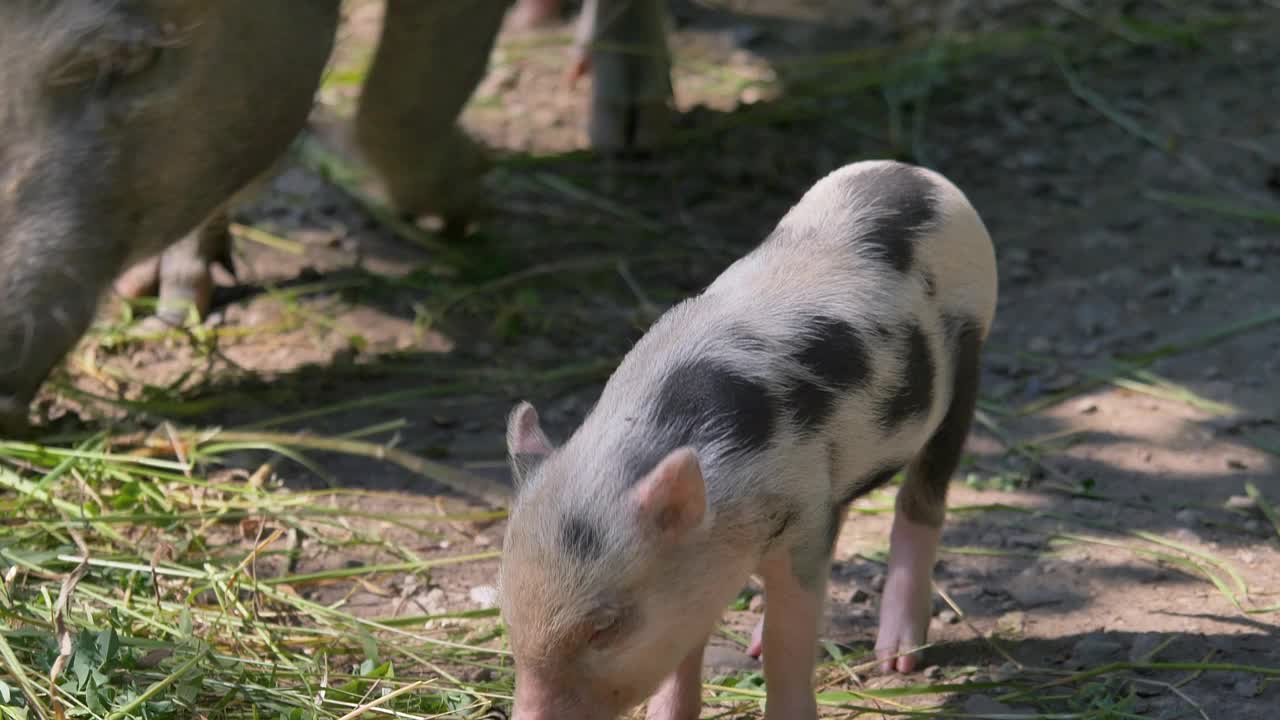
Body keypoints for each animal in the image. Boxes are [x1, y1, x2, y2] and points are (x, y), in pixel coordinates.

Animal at [499, 161, 998, 717]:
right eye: (507, 612)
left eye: (605, 626)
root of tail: (911, 171)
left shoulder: (799, 521)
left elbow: (789, 639)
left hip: (967, 357)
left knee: (922, 499)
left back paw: (898, 660)